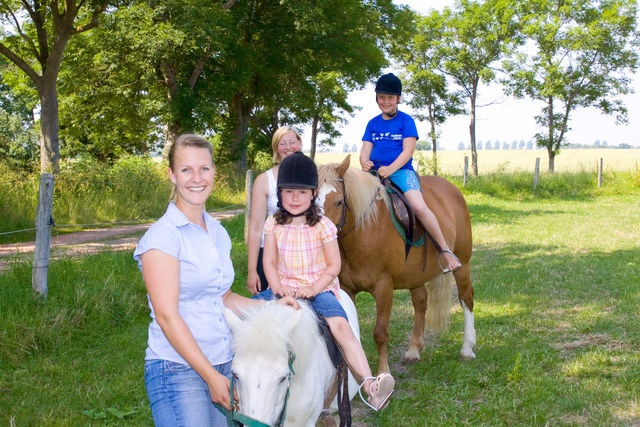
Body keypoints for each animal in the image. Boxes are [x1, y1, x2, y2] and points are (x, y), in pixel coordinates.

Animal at [316, 156, 476, 374]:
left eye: (339, 201)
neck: (364, 232)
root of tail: (453, 188)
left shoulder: (384, 287)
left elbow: (380, 333)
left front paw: (383, 372)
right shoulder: (347, 289)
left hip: (463, 263)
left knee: (466, 297)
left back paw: (467, 348)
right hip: (415, 275)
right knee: (420, 301)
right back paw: (414, 350)